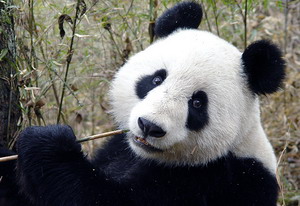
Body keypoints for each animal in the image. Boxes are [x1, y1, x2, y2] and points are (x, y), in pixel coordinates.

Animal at [14, 1, 286, 206]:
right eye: (156, 79)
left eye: (198, 103)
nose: (149, 126)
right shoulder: (119, 148)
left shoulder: (213, 180)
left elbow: (104, 199)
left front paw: (48, 142)